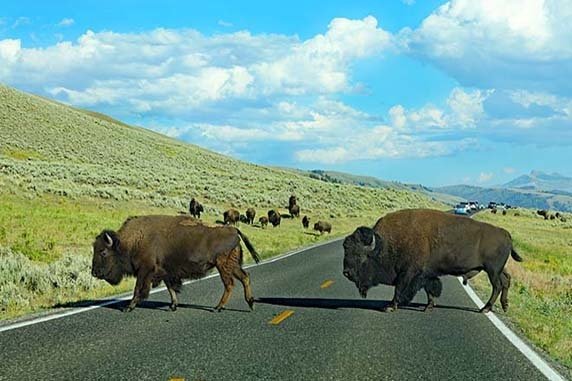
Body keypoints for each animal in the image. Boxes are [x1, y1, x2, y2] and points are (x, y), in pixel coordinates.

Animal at [92, 214, 262, 312]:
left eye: (103, 251)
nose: (94, 272)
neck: (132, 241)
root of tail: (233, 230)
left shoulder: (144, 270)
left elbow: (138, 289)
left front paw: (129, 307)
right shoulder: (165, 271)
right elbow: (170, 288)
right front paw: (173, 305)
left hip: (223, 266)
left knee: (229, 284)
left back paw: (218, 307)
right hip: (232, 265)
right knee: (245, 277)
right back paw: (251, 303)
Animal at [342, 209, 524, 314]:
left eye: (360, 256)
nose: (346, 273)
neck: (383, 244)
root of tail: (506, 233)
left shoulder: (409, 273)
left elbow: (400, 289)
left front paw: (390, 306)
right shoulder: (425, 274)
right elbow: (430, 289)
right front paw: (428, 306)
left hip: (492, 270)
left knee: (497, 286)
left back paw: (484, 309)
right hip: (498, 270)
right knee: (506, 280)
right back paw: (504, 306)